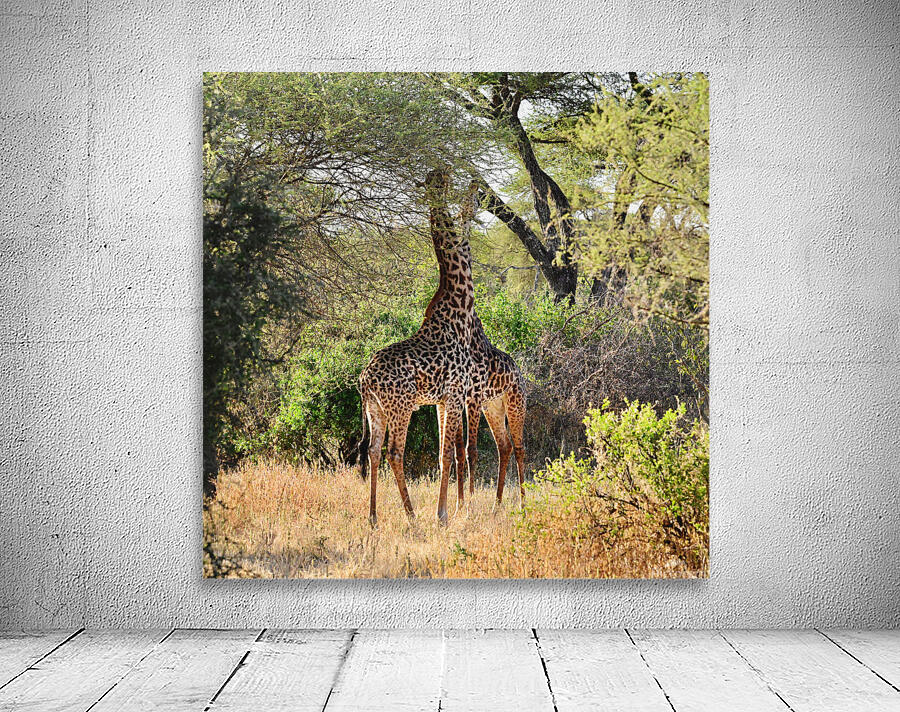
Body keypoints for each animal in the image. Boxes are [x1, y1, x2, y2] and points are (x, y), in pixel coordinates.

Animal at [357, 168, 474, 526]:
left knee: (373, 451)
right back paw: (411, 517)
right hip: (401, 406)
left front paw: (446, 511)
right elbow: (447, 453)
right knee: (395, 452)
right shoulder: (455, 394)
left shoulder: (441, 399)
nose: (448, 176)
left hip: (376, 409)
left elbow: (442, 454)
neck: (460, 307)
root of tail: (364, 380)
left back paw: (373, 518)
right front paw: (442, 515)